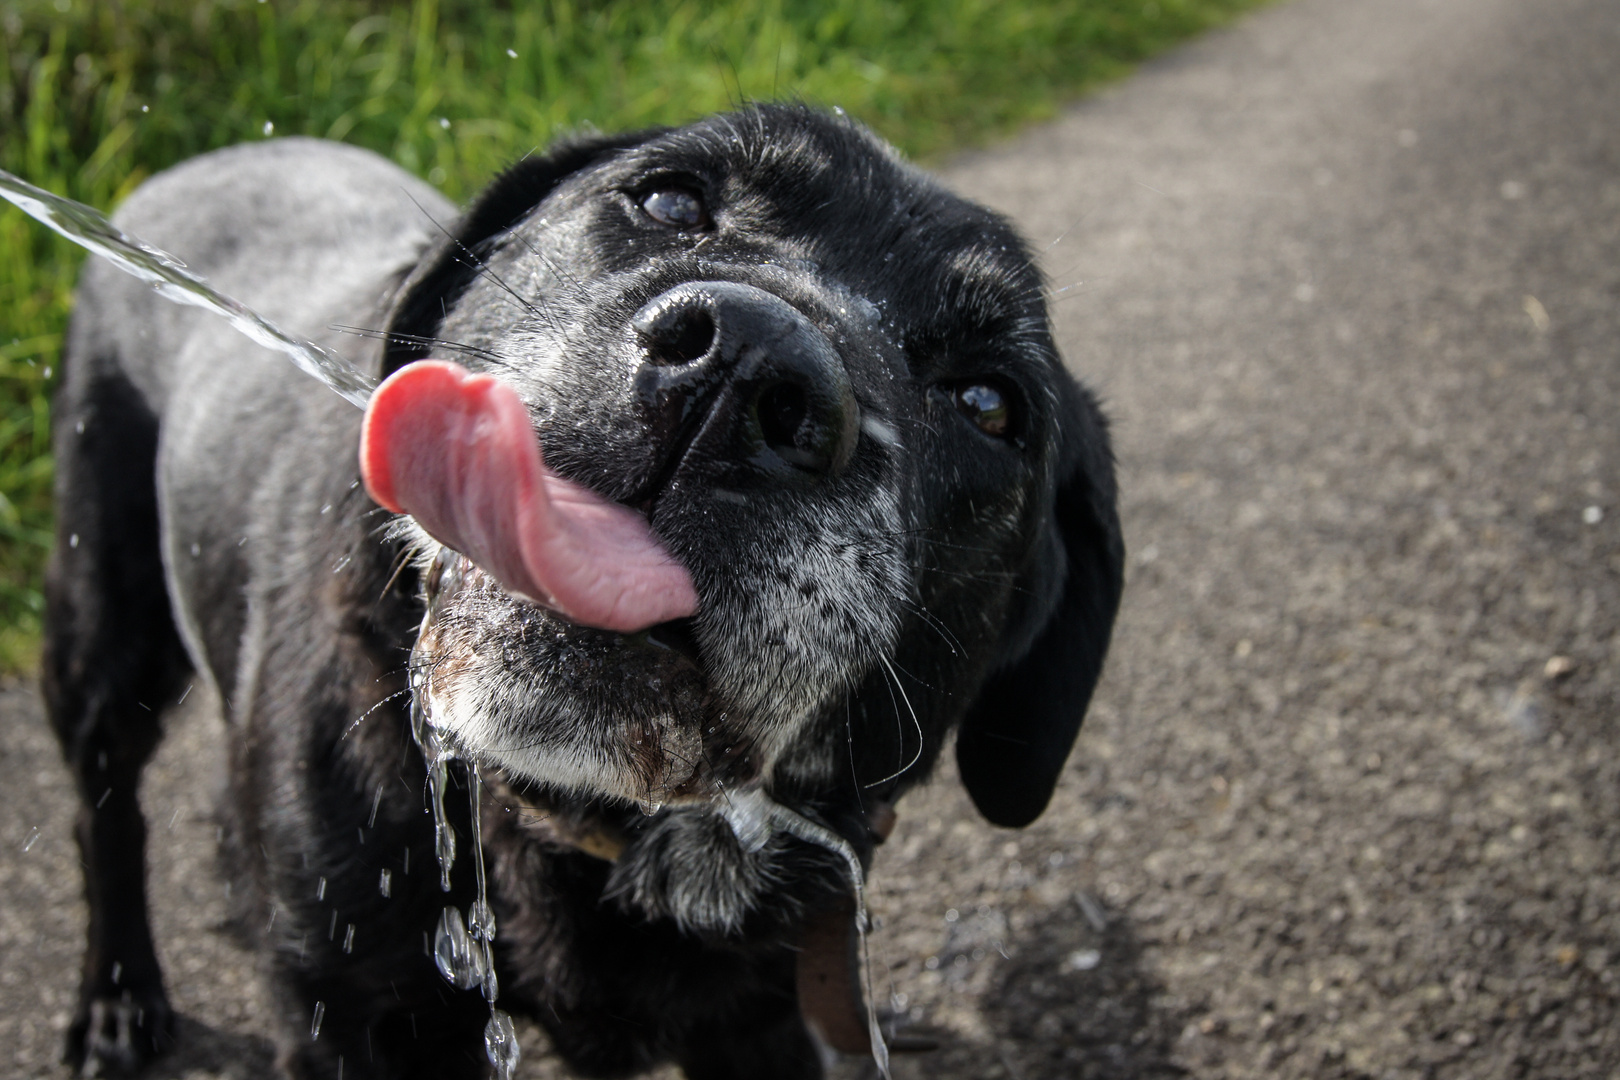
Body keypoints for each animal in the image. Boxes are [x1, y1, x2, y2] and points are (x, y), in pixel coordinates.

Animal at [44, 103, 1121, 1080]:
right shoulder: (351, 1012)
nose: (750, 361)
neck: (565, 827)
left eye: (989, 404)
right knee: (104, 813)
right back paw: (118, 998)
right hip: (101, 637)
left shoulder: (764, 1022)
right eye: (671, 199)